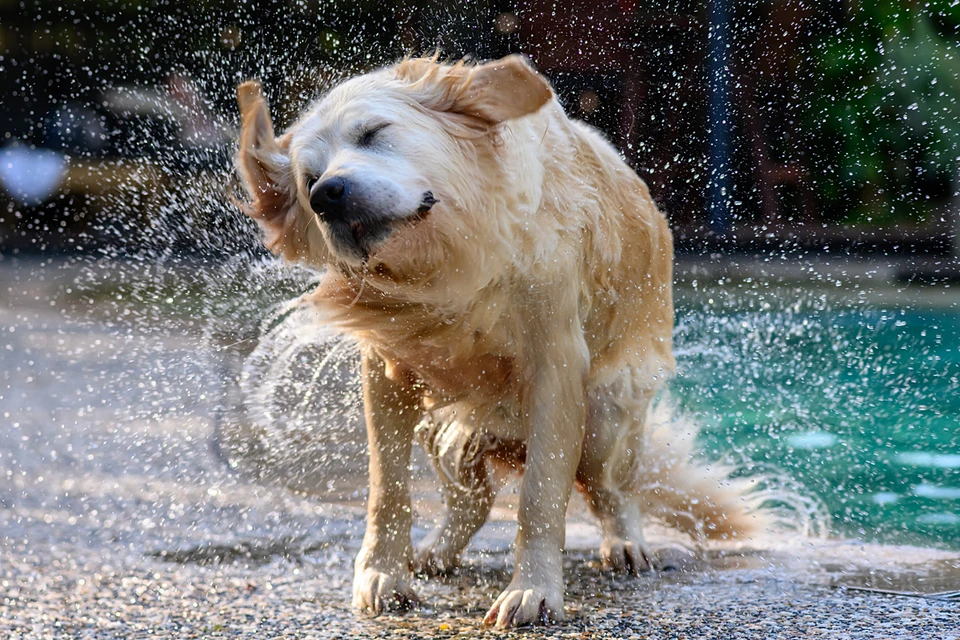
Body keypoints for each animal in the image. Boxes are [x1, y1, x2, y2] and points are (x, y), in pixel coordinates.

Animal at [232, 53, 756, 624]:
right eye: (308, 179)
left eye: (373, 133)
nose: (327, 194)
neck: (450, 266)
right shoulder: (386, 371)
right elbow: (386, 488)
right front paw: (382, 575)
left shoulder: (556, 369)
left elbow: (540, 497)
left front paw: (533, 590)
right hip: (445, 416)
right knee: (474, 500)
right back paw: (436, 552)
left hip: (604, 414)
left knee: (611, 489)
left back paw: (625, 544)